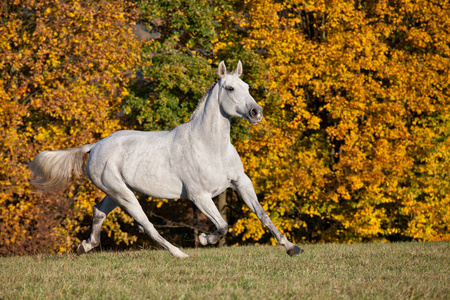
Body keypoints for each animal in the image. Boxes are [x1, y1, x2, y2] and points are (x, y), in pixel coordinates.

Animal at [28, 61, 302, 258]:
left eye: (247, 87)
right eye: (231, 88)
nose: (256, 113)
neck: (211, 147)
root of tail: (95, 146)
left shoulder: (241, 183)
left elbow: (262, 215)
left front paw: (292, 248)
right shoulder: (199, 196)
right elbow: (223, 225)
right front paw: (204, 239)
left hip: (115, 193)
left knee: (98, 211)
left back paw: (84, 246)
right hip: (124, 195)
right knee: (146, 226)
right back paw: (179, 254)